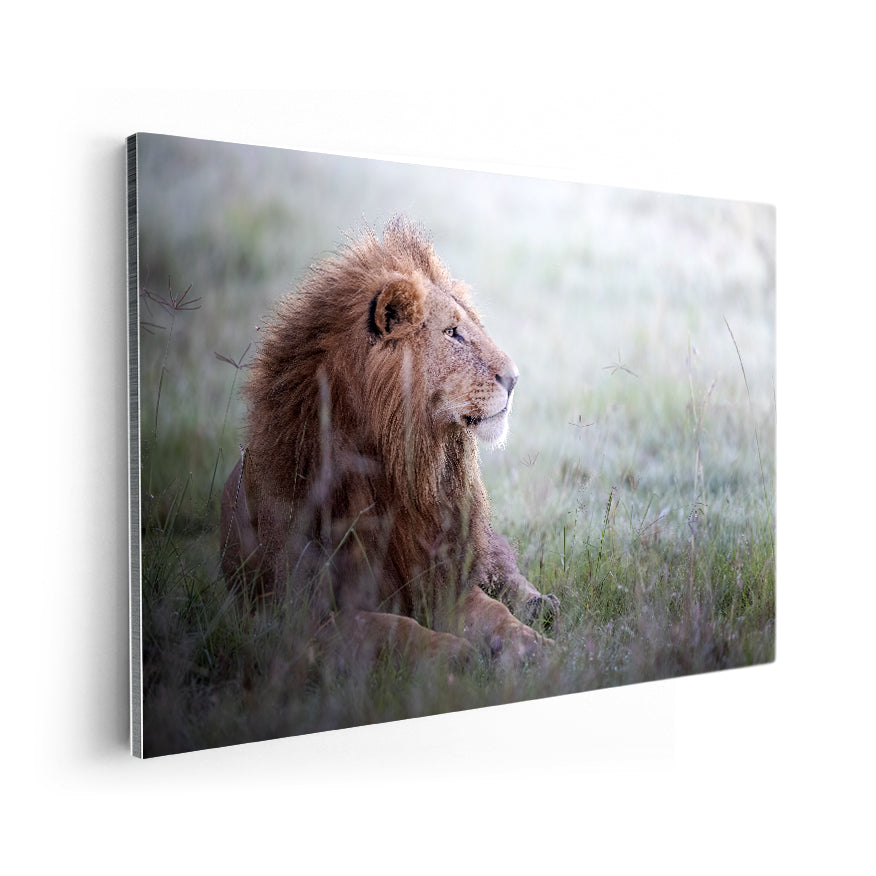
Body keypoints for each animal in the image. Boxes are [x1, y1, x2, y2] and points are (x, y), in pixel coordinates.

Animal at [220, 216, 558, 668]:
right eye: (453, 333)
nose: (516, 378)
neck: (401, 471)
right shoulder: (301, 618)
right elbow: (391, 627)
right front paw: (452, 651)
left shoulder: (442, 579)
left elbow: (495, 612)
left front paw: (533, 646)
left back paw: (542, 606)